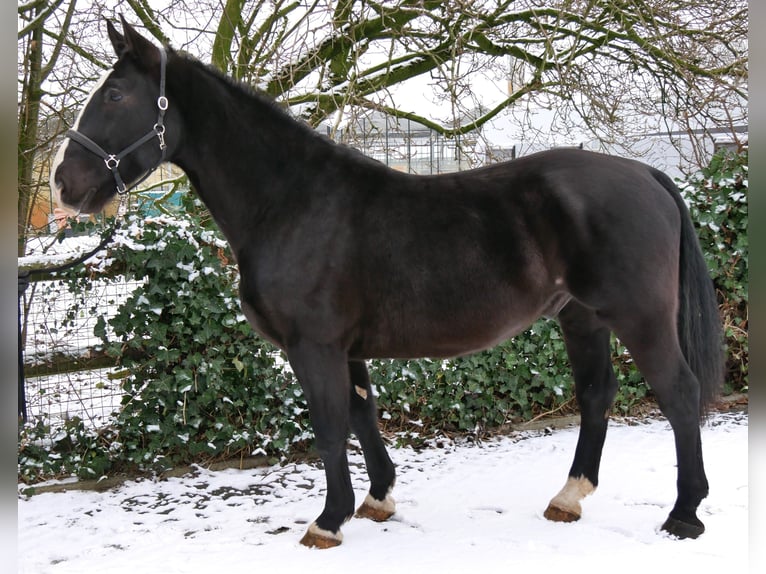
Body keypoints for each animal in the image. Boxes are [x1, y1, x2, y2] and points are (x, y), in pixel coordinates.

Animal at [51, 18, 724, 548]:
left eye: (115, 94)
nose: (63, 184)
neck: (293, 201)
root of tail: (645, 173)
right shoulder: (345, 348)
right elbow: (360, 412)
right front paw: (377, 499)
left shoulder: (314, 345)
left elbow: (328, 425)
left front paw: (327, 521)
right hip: (580, 315)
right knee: (596, 394)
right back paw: (569, 497)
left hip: (639, 318)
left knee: (679, 394)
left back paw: (684, 515)